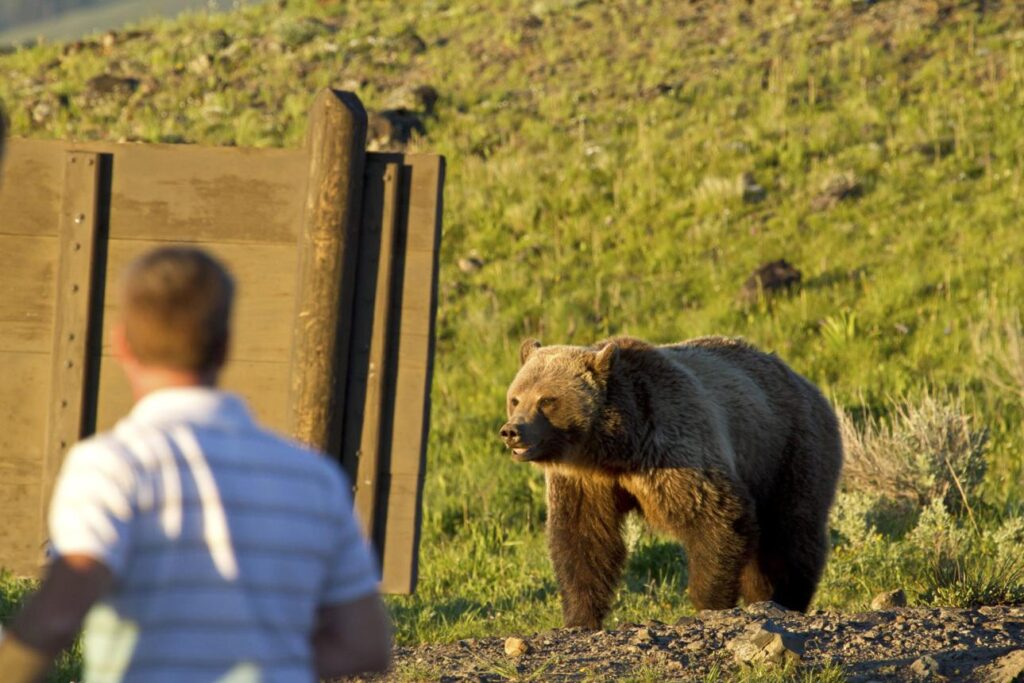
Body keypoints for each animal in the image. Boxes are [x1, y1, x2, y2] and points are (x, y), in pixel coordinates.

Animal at [499, 335, 843, 629]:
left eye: (547, 400)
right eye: (516, 399)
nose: (512, 431)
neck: (613, 447)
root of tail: (805, 382)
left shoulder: (671, 444)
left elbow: (715, 516)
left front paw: (708, 603)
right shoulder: (585, 480)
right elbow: (584, 539)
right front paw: (580, 618)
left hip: (788, 449)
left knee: (791, 532)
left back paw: (785, 597)